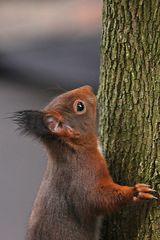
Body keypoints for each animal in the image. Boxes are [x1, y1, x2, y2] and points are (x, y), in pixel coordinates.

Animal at [13, 86, 156, 240]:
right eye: (80, 106)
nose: (88, 88)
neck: (74, 150)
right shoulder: (82, 175)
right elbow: (96, 199)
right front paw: (136, 192)